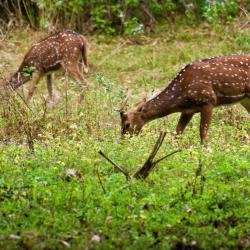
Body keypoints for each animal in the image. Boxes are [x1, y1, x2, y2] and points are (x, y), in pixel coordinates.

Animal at [120, 54, 250, 145]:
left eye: (127, 124)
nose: (122, 142)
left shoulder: (208, 100)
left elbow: (203, 132)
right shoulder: (188, 111)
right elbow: (178, 132)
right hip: (246, 99)